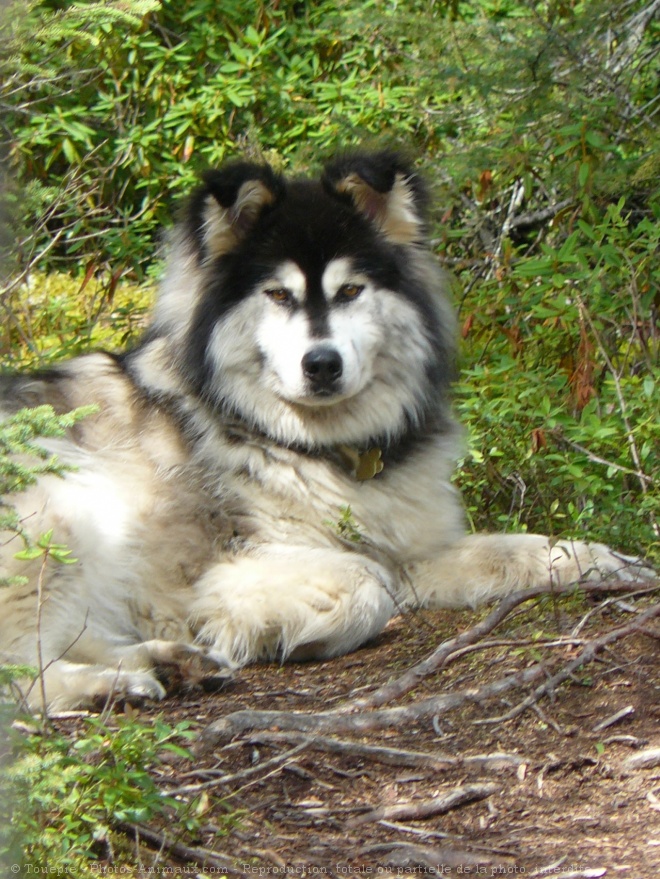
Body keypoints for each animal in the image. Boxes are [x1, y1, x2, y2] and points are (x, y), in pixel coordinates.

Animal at [0, 153, 648, 716]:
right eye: (279, 295)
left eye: (350, 291)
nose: (322, 364)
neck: (314, 446)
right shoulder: (248, 558)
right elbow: (367, 584)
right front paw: (262, 628)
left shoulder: (412, 547)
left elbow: (515, 548)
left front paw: (604, 561)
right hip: (57, 507)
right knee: (23, 673)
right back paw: (114, 684)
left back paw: (171, 663)